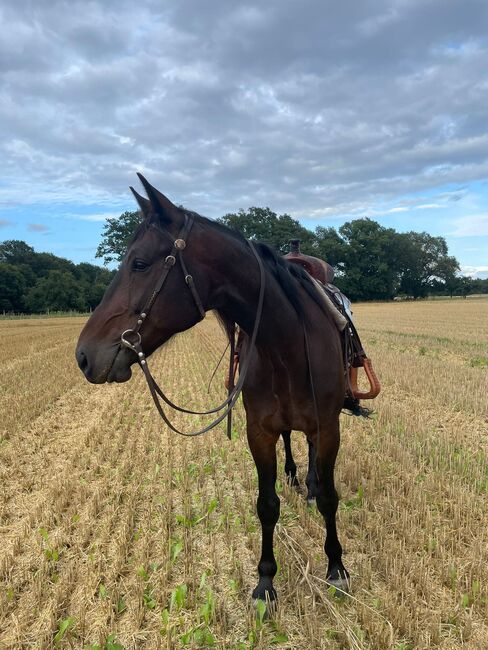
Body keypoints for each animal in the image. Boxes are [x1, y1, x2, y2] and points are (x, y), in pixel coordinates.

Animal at [75, 175, 350, 604]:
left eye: (139, 263)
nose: (84, 355)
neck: (287, 344)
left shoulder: (328, 427)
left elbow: (328, 498)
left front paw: (336, 567)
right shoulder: (259, 431)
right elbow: (266, 504)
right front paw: (265, 583)